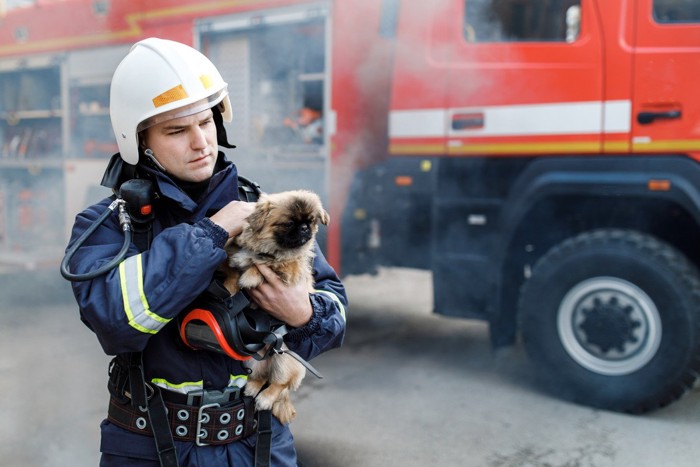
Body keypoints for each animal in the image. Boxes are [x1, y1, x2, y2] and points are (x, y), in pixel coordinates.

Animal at [223, 190, 330, 424]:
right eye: (289, 223)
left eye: (311, 221)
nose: (305, 228)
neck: (268, 249)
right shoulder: (236, 257)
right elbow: (234, 269)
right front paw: (230, 286)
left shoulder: (290, 267)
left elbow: (267, 265)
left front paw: (251, 276)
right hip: (251, 363)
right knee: (261, 378)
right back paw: (252, 388)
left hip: (284, 362)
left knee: (277, 385)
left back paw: (265, 399)